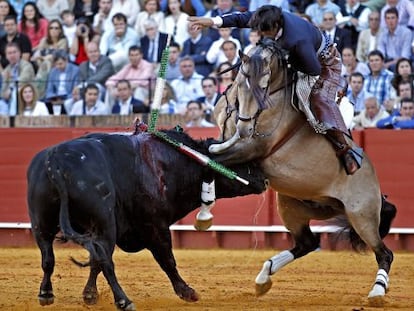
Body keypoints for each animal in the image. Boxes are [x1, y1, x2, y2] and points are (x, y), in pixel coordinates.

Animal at [26, 129, 266, 310]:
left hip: (41, 224)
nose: (264, 180)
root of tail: (56, 160)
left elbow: (93, 262)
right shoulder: (155, 225)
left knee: (48, 258)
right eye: (240, 162)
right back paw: (124, 301)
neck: (167, 163)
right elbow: (167, 260)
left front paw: (90, 295)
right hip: (104, 224)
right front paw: (187, 292)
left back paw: (45, 294)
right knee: (106, 261)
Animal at [209, 38, 396, 304]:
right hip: (292, 205)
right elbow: (212, 153)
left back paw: (377, 291)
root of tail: (377, 186)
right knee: (307, 242)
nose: (245, 128)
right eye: (242, 85)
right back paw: (263, 278)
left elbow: (212, 158)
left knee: (384, 253)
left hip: (362, 215)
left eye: (264, 87)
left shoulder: (252, 148)